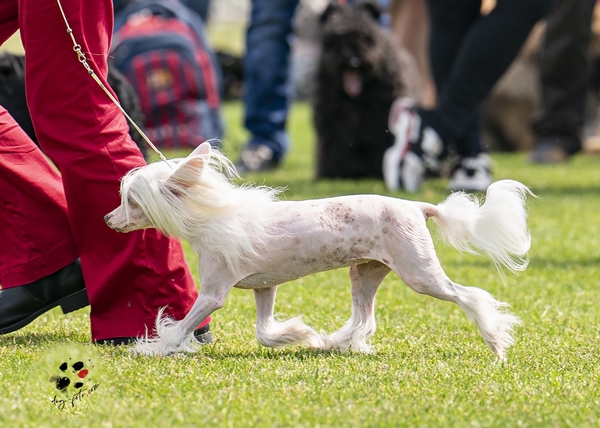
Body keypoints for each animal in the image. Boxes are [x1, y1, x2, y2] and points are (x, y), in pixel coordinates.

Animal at [105, 142, 532, 360]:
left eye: (132, 201)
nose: (108, 219)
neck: (212, 217)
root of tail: (417, 206)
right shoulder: (265, 287)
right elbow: (264, 331)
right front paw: (300, 334)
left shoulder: (213, 294)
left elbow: (184, 325)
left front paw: (156, 348)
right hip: (365, 272)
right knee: (364, 317)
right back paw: (337, 344)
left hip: (419, 273)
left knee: (469, 296)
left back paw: (495, 342)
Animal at [314, 0, 422, 178]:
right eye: (336, 36)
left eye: (366, 36)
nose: (353, 61)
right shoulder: (331, 118)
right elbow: (334, 143)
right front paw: (333, 171)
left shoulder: (385, 116)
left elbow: (385, 142)